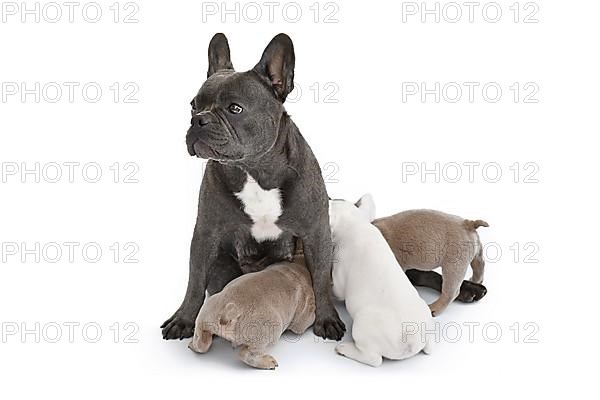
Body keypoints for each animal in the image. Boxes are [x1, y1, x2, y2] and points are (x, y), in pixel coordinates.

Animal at [330, 195, 434, 368]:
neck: (356, 223)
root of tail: (410, 337)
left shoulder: (340, 275)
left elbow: (335, 288)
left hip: (362, 325)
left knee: (374, 359)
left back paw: (344, 349)